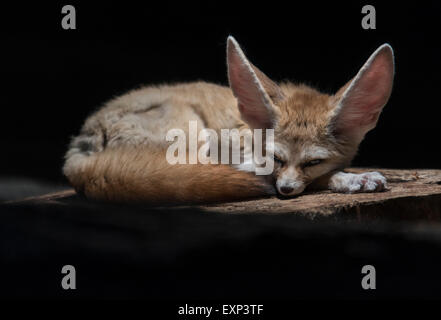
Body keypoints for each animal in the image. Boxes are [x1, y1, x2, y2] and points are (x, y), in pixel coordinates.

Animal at [62, 36, 396, 204]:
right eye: (275, 157)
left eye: (313, 161)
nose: (286, 191)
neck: (248, 130)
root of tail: (81, 145)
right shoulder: (249, 162)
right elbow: (309, 180)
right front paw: (352, 178)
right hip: (193, 134)